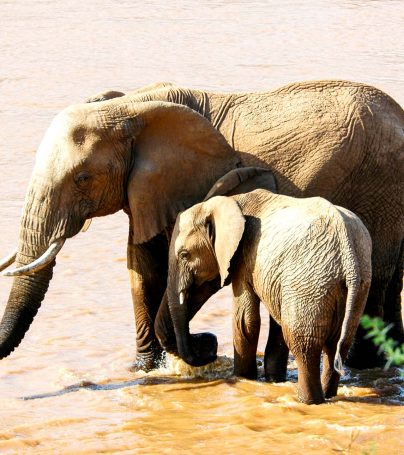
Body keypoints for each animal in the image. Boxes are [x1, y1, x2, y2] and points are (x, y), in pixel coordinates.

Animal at [0, 80, 404, 370]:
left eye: (82, 178)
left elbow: (191, 272)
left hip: (378, 185)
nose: (208, 343)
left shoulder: (190, 185)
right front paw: (145, 371)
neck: (130, 106)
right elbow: (141, 268)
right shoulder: (145, 189)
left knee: (378, 280)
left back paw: (364, 367)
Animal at [166, 172, 372, 406]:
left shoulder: (244, 257)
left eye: (184, 254)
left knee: (303, 344)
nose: (211, 346)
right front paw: (272, 378)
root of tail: (348, 251)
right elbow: (275, 321)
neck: (228, 202)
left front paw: (243, 378)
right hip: (354, 283)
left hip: (310, 281)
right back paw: (328, 395)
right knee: (338, 343)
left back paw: (307, 400)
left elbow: (245, 321)